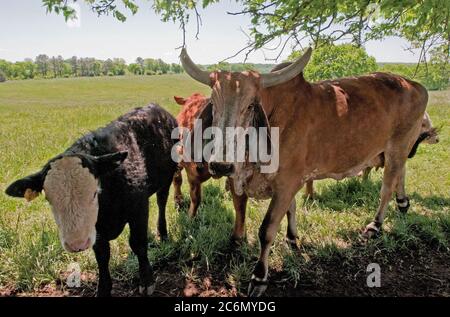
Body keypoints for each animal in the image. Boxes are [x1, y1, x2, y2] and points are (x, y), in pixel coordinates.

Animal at [179, 48, 428, 296]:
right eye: (214, 105)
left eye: (250, 105)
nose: (221, 165)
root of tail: (414, 85)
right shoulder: (249, 182)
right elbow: (264, 214)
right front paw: (290, 239)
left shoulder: (286, 183)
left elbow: (267, 230)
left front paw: (259, 276)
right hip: (396, 150)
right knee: (400, 174)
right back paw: (403, 203)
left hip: (398, 147)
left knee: (387, 188)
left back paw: (375, 224)